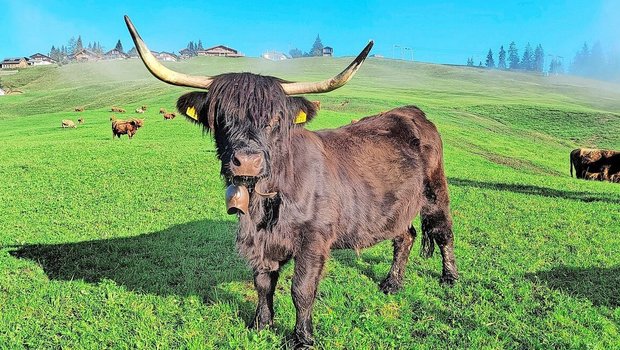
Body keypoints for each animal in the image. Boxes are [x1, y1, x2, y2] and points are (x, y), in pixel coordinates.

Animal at [127, 15, 456, 348]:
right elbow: (262, 282)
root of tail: (410, 111)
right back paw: (392, 282)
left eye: (275, 120)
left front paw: (302, 337)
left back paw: (449, 277)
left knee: (442, 231)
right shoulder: (260, 242)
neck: (266, 200)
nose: (247, 161)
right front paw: (261, 324)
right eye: (221, 117)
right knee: (406, 236)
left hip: (434, 191)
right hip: (396, 206)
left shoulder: (314, 239)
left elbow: (302, 289)